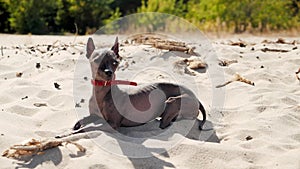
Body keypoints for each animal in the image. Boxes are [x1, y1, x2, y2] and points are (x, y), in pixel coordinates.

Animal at [72, 37, 206, 132]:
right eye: (97, 61)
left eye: (115, 62)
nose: (109, 72)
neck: (102, 92)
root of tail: (197, 99)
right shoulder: (95, 116)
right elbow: (83, 120)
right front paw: (76, 125)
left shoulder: (112, 124)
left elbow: (89, 128)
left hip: (172, 100)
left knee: (165, 123)